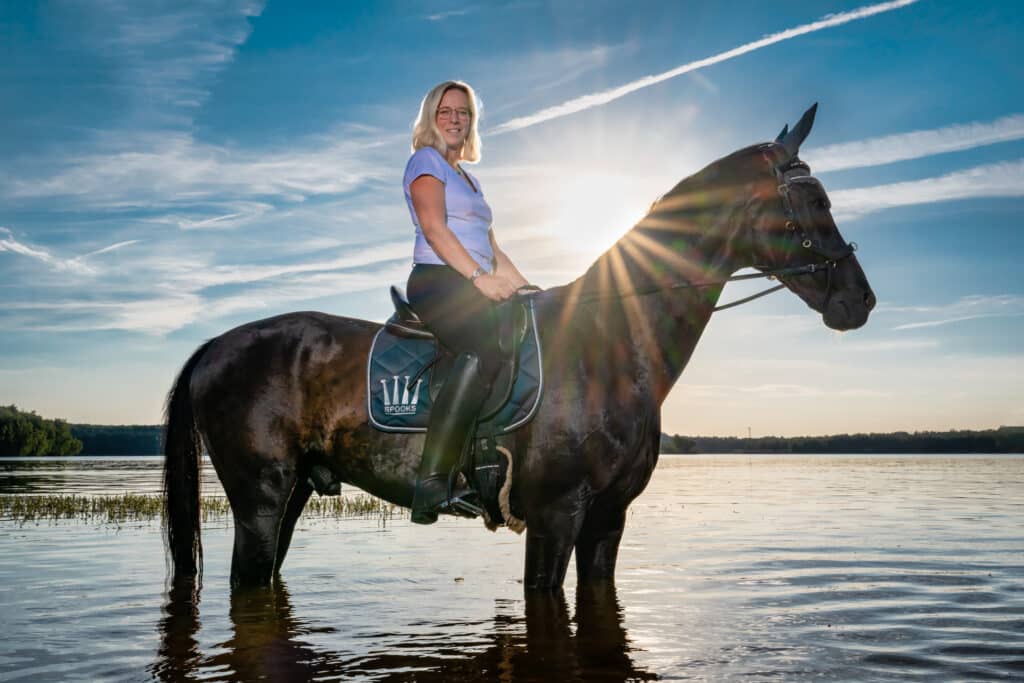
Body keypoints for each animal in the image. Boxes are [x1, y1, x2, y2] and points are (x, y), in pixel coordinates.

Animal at [163, 107, 876, 593]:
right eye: (814, 198)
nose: (859, 301)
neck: (607, 343)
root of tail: (218, 345)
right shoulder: (558, 515)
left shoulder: (608, 520)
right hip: (260, 498)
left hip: (289, 498)